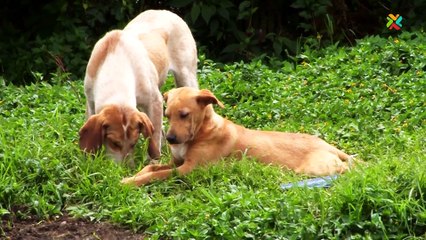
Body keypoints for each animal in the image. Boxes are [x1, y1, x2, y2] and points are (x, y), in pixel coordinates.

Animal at [79, 9, 199, 165]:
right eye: (114, 143)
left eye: (134, 143)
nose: (126, 168)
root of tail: (166, 11)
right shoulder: (90, 103)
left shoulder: (155, 102)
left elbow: (154, 136)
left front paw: (153, 162)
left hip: (186, 77)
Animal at [121, 87, 352, 187]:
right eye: (167, 115)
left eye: (184, 114)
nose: (170, 140)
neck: (203, 131)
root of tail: (330, 146)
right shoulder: (177, 162)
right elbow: (151, 168)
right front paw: (131, 176)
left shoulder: (189, 169)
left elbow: (156, 175)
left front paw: (131, 182)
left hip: (314, 168)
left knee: (347, 169)